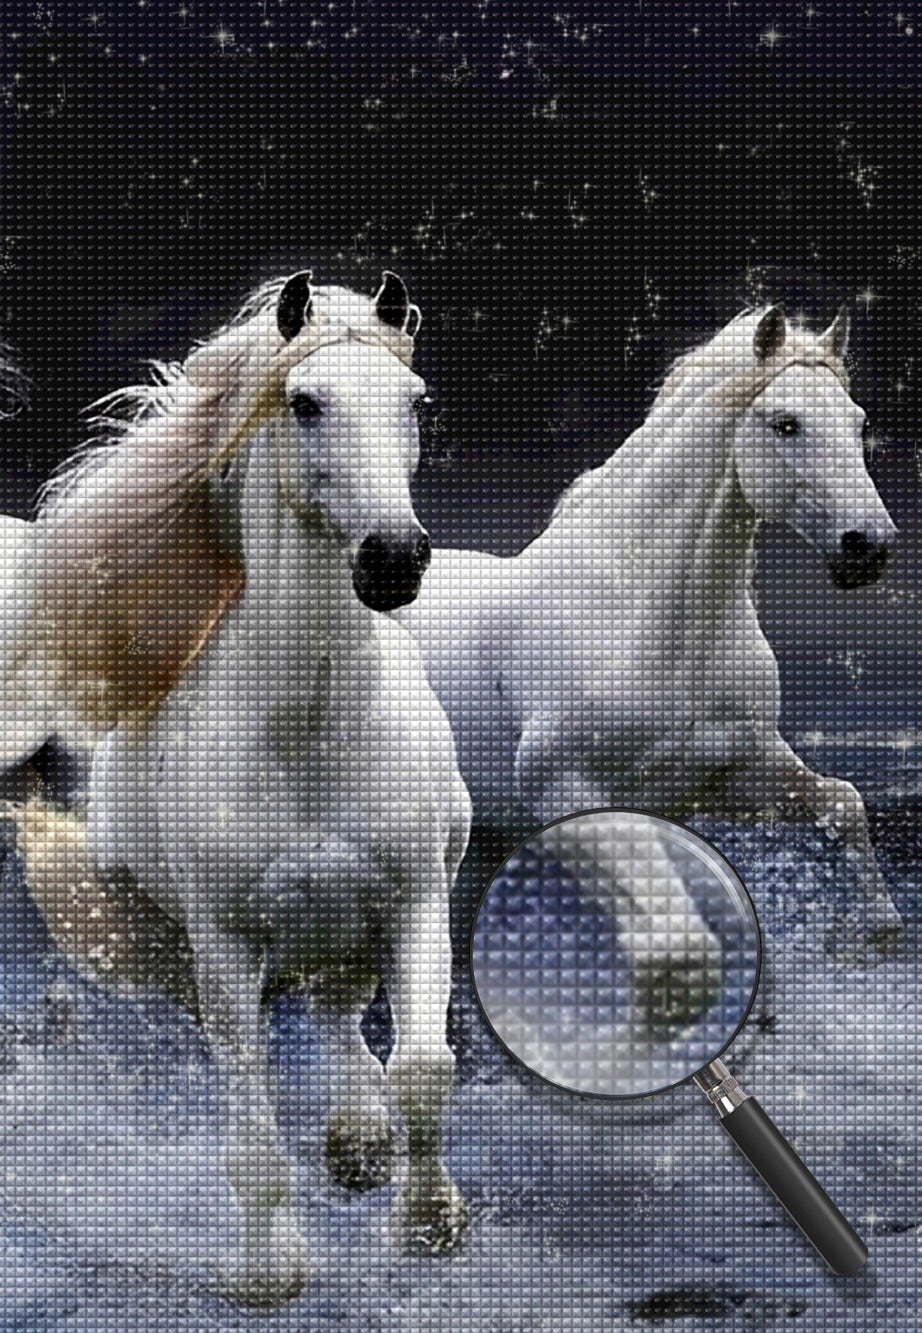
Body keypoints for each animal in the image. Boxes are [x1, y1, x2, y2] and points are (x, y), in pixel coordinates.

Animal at [9, 271, 472, 1306]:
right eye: (304, 402)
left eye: (416, 402)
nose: (393, 557)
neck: (311, 731)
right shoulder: (225, 947)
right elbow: (253, 1128)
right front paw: (268, 1272)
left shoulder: (414, 902)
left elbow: (424, 1068)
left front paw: (428, 1222)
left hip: (349, 928)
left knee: (343, 1018)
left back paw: (358, 1143)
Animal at [397, 305, 900, 951]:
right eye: (786, 424)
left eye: (858, 424)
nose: (869, 546)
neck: (653, 627)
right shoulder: (568, 794)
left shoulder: (739, 771)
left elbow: (844, 804)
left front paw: (879, 932)